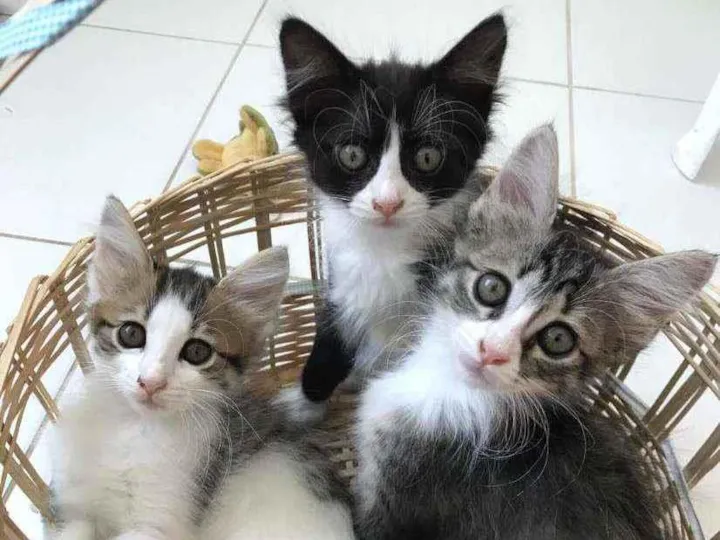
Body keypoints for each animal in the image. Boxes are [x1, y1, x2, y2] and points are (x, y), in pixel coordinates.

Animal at [50, 196, 355, 540]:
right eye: (131, 334)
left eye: (197, 352)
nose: (151, 382)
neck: (134, 427)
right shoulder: (75, 509)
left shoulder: (161, 522)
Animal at [277, 14, 508, 421]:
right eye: (352, 154)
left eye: (428, 157)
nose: (387, 203)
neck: (384, 250)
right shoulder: (341, 281)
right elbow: (329, 342)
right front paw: (305, 404)